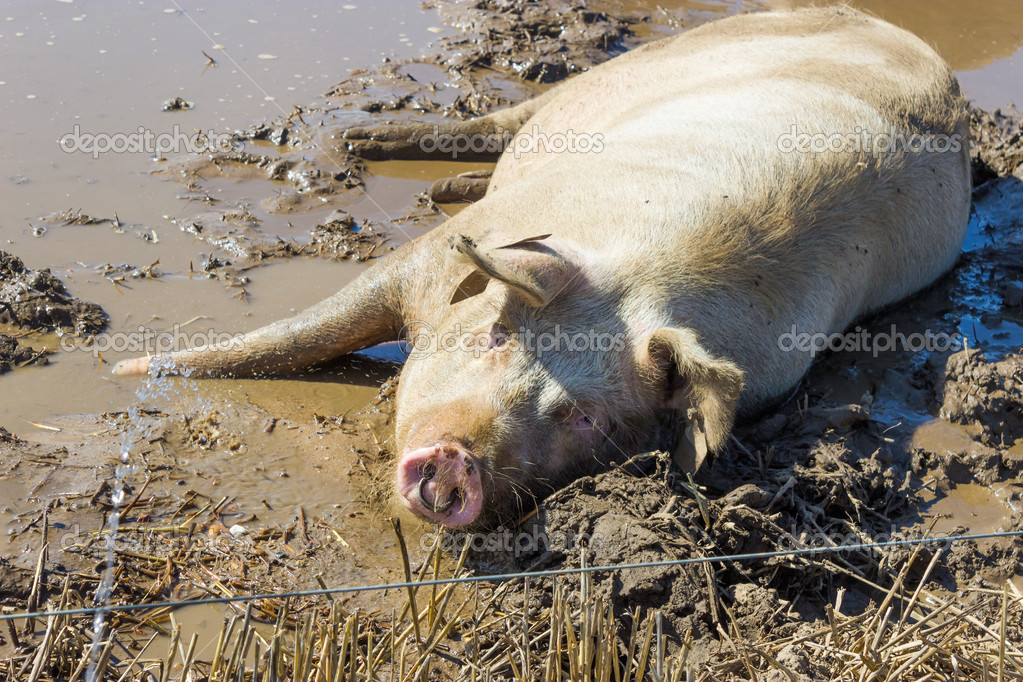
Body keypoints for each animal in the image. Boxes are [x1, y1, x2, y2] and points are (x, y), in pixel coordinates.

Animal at [114, 7, 971, 528]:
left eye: (585, 418)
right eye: (494, 338)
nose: (458, 463)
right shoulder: (434, 254)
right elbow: (310, 330)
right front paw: (131, 369)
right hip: (634, 69)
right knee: (506, 117)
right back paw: (364, 144)